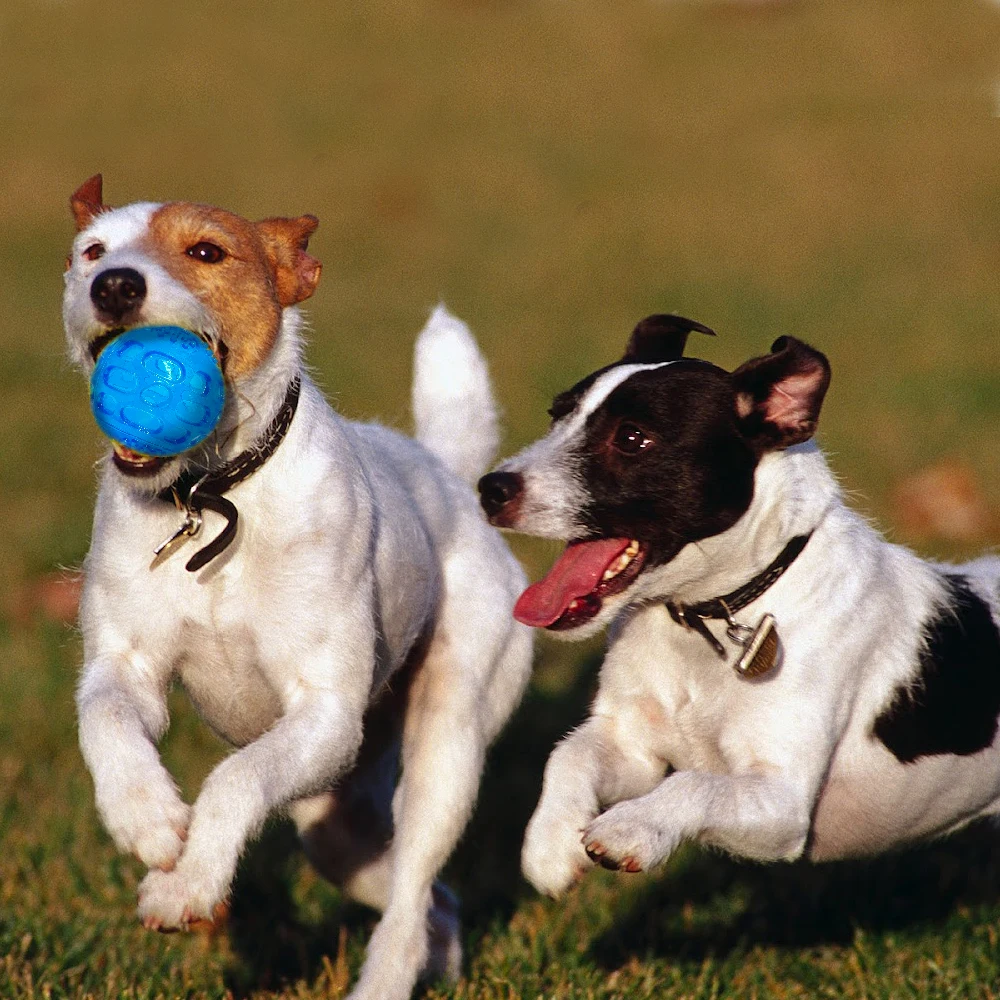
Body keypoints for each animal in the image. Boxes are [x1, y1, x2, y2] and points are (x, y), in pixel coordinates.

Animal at [63, 178, 536, 1000]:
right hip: (336, 822)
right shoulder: (126, 666)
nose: (114, 284)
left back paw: (385, 981)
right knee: (430, 901)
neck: (214, 495)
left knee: (412, 892)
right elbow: (110, 722)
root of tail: (446, 474)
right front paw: (147, 821)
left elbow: (234, 779)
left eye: (207, 251)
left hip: (445, 746)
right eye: (92, 251)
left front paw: (187, 884)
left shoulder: (324, 713)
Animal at [476, 316, 1000, 896]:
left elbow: (694, 784)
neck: (708, 616)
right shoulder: (633, 747)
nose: (490, 488)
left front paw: (631, 829)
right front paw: (549, 844)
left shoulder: (782, 804)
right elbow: (567, 754)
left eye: (632, 438)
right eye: (558, 415)